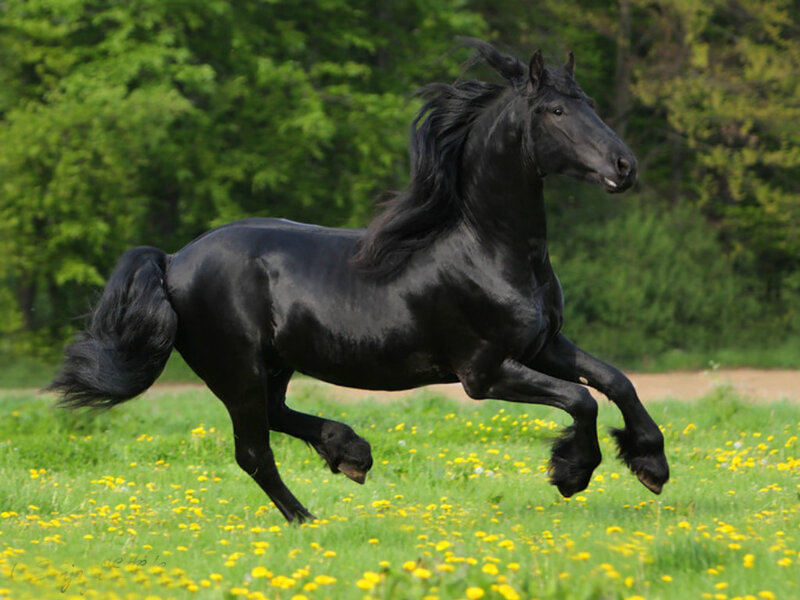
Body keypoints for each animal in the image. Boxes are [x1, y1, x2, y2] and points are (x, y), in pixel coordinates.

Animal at [50, 40, 669, 523]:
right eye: (556, 110)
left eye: (589, 104)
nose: (625, 167)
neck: (487, 248)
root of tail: (174, 259)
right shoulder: (484, 372)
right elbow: (581, 399)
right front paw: (572, 473)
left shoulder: (544, 344)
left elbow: (615, 381)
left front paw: (652, 463)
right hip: (237, 369)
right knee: (253, 451)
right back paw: (309, 517)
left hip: (274, 364)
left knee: (275, 418)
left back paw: (350, 452)